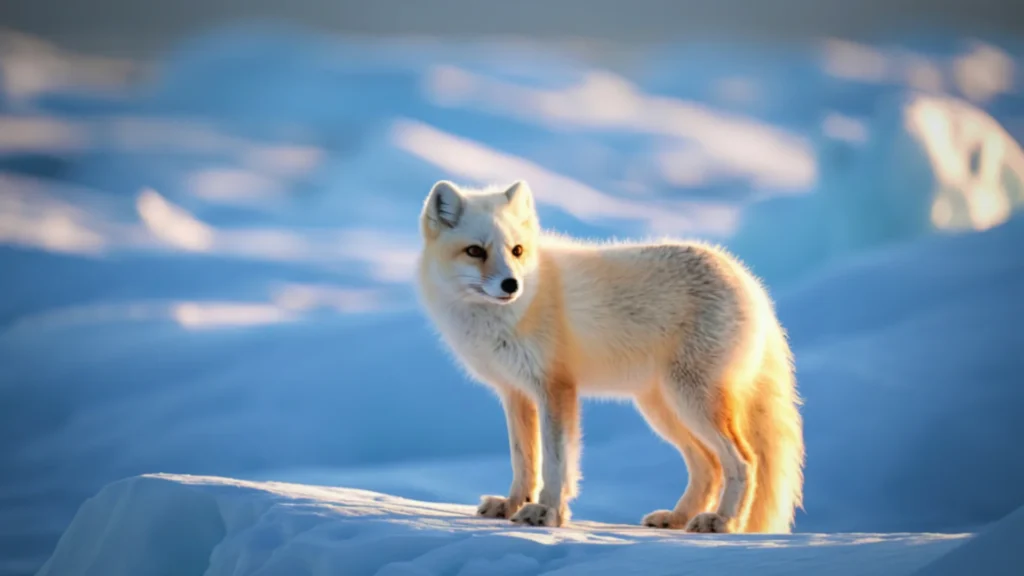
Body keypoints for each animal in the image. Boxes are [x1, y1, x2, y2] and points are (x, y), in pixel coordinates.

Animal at [415, 179, 805, 534]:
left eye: (517, 251)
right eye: (475, 251)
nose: (512, 285)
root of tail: (750, 281)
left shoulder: (556, 388)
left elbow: (556, 461)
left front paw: (548, 513)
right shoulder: (515, 392)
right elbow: (524, 460)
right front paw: (512, 505)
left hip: (691, 402)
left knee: (744, 463)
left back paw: (723, 521)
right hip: (662, 408)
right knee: (709, 467)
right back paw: (677, 518)